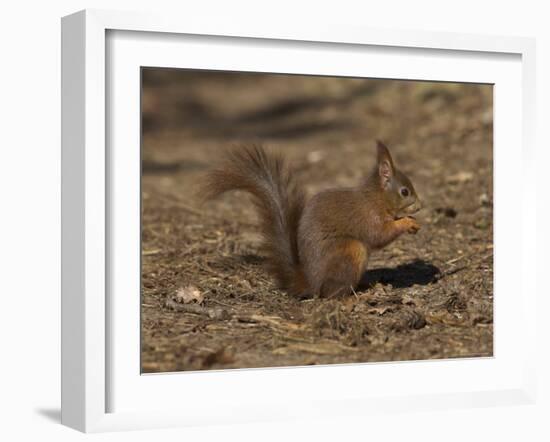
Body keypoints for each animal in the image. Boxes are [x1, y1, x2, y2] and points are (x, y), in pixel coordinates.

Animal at [202, 142, 422, 298]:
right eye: (405, 192)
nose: (420, 207)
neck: (377, 198)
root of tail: (310, 282)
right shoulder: (368, 216)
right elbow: (379, 234)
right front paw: (407, 223)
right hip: (351, 251)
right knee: (330, 294)